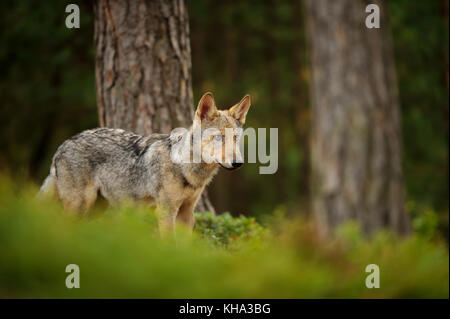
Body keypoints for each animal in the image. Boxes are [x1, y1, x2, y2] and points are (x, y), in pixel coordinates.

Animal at [39, 92, 251, 235]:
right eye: (219, 137)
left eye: (235, 138)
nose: (238, 163)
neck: (186, 168)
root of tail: (61, 146)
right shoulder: (166, 211)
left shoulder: (187, 212)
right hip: (80, 205)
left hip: (96, 208)